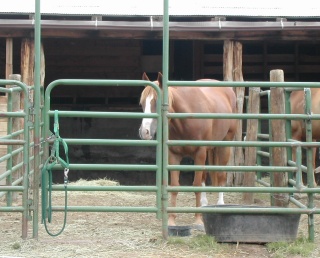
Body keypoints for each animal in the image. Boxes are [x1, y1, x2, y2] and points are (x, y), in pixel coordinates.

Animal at [138, 71, 238, 227]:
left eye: (157, 102)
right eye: (142, 103)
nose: (144, 132)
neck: (185, 119)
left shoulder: (199, 153)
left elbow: (196, 185)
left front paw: (198, 220)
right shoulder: (173, 155)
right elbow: (175, 186)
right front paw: (171, 220)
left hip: (224, 145)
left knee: (221, 175)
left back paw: (220, 205)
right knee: (204, 176)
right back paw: (204, 205)